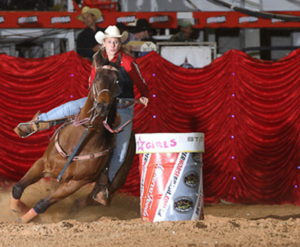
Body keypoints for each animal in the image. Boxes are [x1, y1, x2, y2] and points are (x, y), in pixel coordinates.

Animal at [10, 67, 135, 224]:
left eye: (117, 81)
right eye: (97, 77)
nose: (103, 106)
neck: (78, 141)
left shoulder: (75, 183)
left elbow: (42, 204)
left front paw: (22, 219)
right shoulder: (42, 163)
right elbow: (18, 187)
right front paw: (18, 209)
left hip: (114, 185)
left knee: (88, 200)